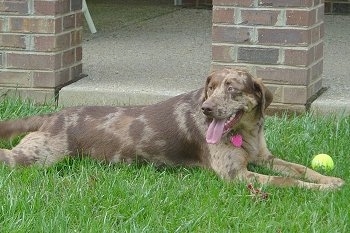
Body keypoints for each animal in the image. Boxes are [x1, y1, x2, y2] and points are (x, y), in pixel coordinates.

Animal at [0, 68, 344, 190]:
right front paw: (324, 190)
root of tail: (51, 116)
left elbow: (299, 169)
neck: (245, 133)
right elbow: (288, 182)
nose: (206, 109)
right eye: (210, 87)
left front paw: (329, 179)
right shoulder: (237, 175)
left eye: (232, 89)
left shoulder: (265, 158)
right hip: (34, 157)